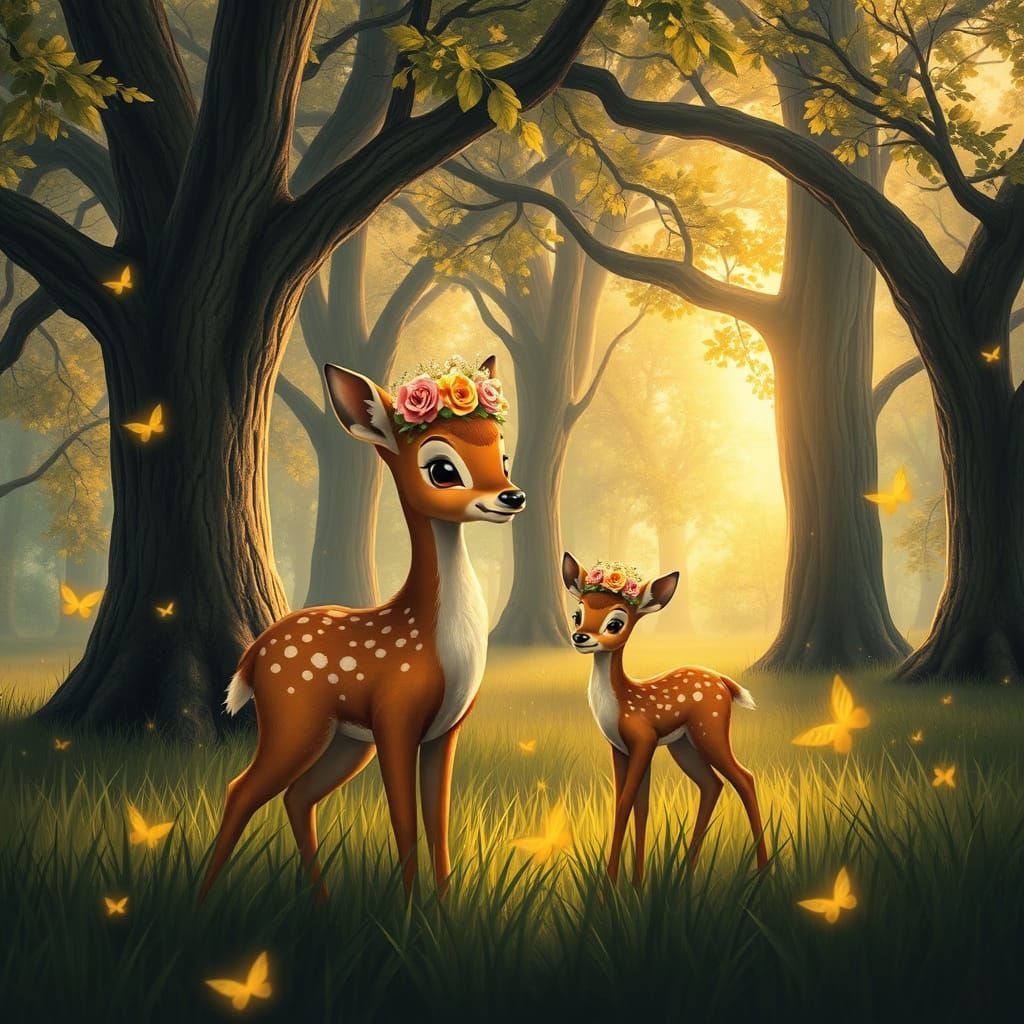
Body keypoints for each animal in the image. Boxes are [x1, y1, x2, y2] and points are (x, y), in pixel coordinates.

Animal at [200, 356, 525, 900]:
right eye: (442, 468)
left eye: (502, 456)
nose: (512, 495)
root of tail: (254, 653)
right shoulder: (396, 715)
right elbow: (404, 821)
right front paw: (410, 908)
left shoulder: (446, 730)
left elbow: (438, 822)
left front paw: (444, 905)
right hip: (294, 717)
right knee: (241, 788)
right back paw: (203, 896)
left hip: (347, 741)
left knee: (297, 796)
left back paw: (322, 900)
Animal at [561, 552, 768, 884]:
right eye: (576, 615)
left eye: (615, 623)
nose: (580, 637)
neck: (622, 703)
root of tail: (724, 682)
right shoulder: (619, 748)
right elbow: (637, 806)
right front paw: (635, 883)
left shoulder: (643, 739)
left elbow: (625, 803)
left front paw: (610, 885)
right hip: (682, 745)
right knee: (712, 784)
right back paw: (687, 871)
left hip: (710, 729)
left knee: (744, 777)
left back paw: (762, 871)